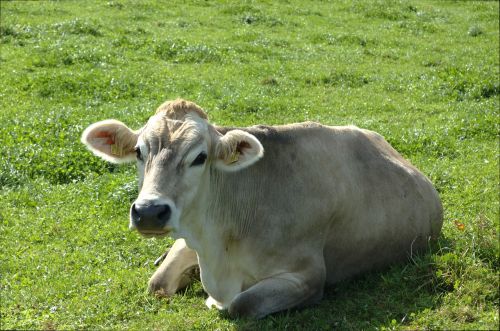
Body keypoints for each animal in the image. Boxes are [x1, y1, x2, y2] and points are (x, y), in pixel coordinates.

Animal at [80, 100, 444, 320]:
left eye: (200, 157)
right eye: (139, 152)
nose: (150, 211)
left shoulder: (308, 276)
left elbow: (241, 304)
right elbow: (157, 284)